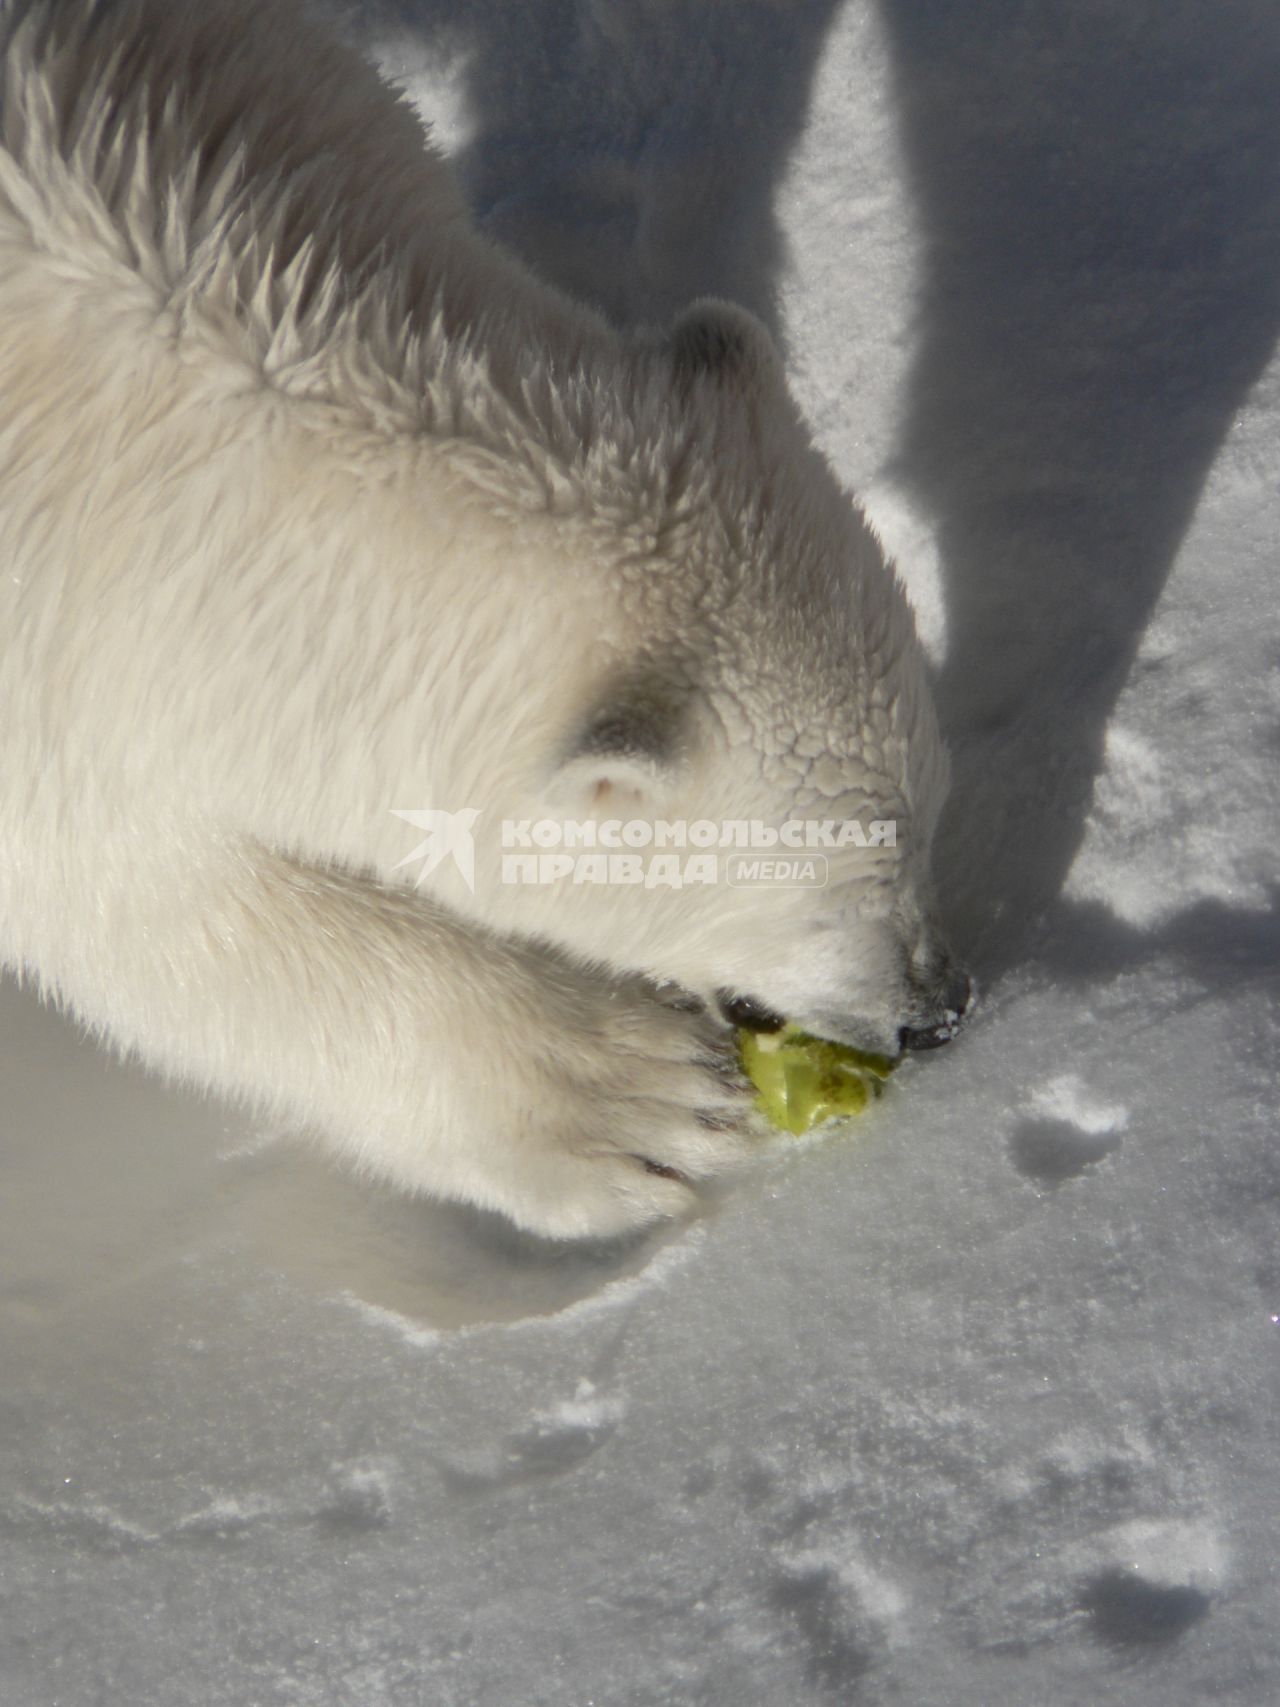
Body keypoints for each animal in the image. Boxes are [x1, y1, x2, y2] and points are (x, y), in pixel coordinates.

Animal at [0, 0, 969, 1229]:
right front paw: (637, 1099)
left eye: (930, 816)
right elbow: (145, 912)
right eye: (844, 882)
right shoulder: (50, 663)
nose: (940, 1009)